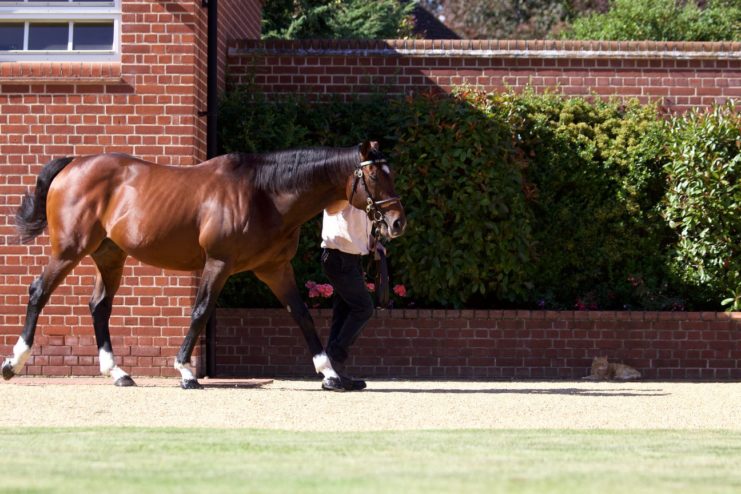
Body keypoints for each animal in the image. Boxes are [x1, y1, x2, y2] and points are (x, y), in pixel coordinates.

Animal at [0, 141, 404, 388]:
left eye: (391, 173)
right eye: (373, 175)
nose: (397, 222)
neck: (264, 193)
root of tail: (73, 165)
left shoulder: (275, 269)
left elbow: (302, 316)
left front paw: (330, 373)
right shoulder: (218, 262)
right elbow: (201, 310)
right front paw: (185, 370)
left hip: (110, 255)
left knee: (99, 306)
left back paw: (117, 372)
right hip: (70, 249)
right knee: (38, 292)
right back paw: (13, 363)